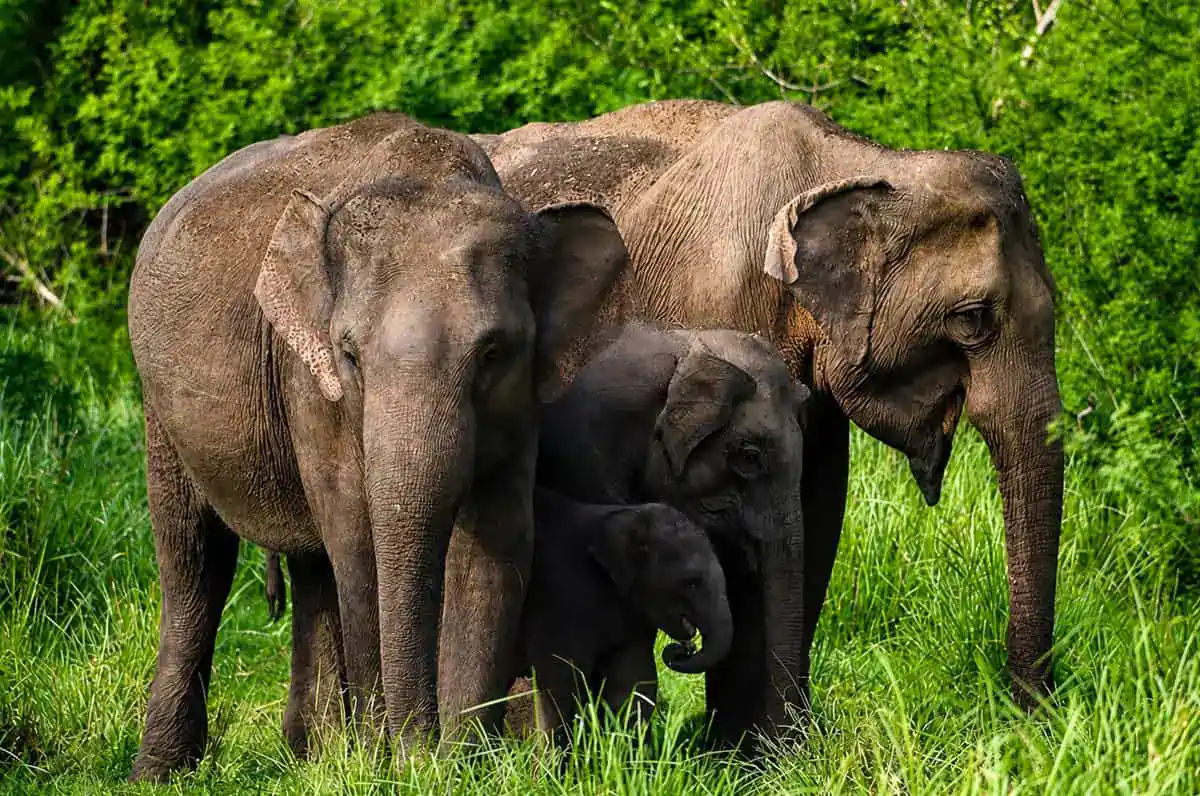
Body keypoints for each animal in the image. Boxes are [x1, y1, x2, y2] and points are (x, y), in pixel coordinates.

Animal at [125, 111, 628, 781]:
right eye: (350, 353)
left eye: (494, 352)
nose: (419, 749)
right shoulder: (311, 382)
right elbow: (357, 539)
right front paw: (387, 766)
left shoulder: (523, 402)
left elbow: (495, 546)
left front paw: (456, 768)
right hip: (158, 404)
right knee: (194, 561)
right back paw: (163, 772)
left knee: (312, 569)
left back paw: (310, 755)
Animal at [504, 488, 731, 746]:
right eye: (691, 582)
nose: (686, 648)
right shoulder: (559, 594)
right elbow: (562, 677)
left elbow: (633, 678)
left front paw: (626, 751)